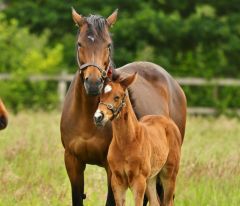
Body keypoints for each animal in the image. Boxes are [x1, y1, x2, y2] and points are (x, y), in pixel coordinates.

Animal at [94, 73, 182, 205]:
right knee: (155, 202)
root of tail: (167, 121)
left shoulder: (138, 181)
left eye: (117, 97)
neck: (127, 142)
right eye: (100, 97)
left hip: (169, 174)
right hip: (151, 178)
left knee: (168, 202)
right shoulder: (117, 181)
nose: (98, 117)